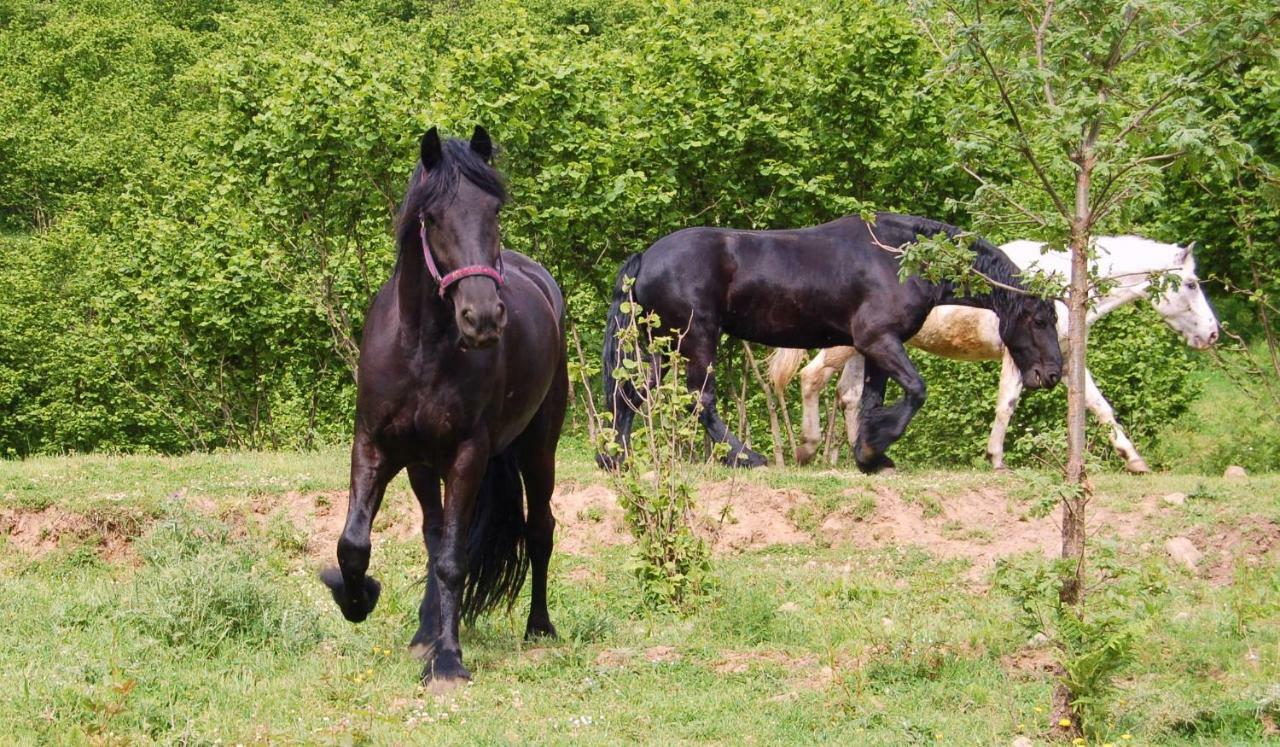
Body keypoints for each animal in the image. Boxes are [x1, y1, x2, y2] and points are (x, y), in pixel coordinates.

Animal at [318, 126, 565, 680]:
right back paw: (425, 633)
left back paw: (539, 628)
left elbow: (455, 559)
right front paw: (357, 597)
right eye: (431, 217)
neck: (421, 350)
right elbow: (355, 544)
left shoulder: (467, 454)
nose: (483, 318)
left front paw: (448, 664)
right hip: (422, 466)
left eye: (494, 209)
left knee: (539, 528)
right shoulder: (374, 447)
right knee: (434, 535)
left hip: (538, 449)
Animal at [604, 211, 1064, 473]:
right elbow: (916, 390)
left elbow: (871, 400)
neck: (897, 258)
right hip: (696, 338)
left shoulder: (878, 347)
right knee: (700, 399)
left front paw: (870, 456)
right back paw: (749, 458)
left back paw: (615, 459)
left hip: (666, 344)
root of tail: (646, 258)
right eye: (1042, 319)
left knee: (633, 392)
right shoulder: (878, 339)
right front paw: (876, 446)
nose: (1052, 374)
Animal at [768, 237, 1218, 473]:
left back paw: (859, 453)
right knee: (811, 379)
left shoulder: (1063, 359)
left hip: (864, 350)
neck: (1062, 288)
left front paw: (1134, 460)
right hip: (845, 347)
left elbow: (1100, 406)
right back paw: (812, 450)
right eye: (1192, 284)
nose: (1213, 333)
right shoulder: (1018, 357)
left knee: (848, 396)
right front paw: (996, 458)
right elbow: (1008, 403)